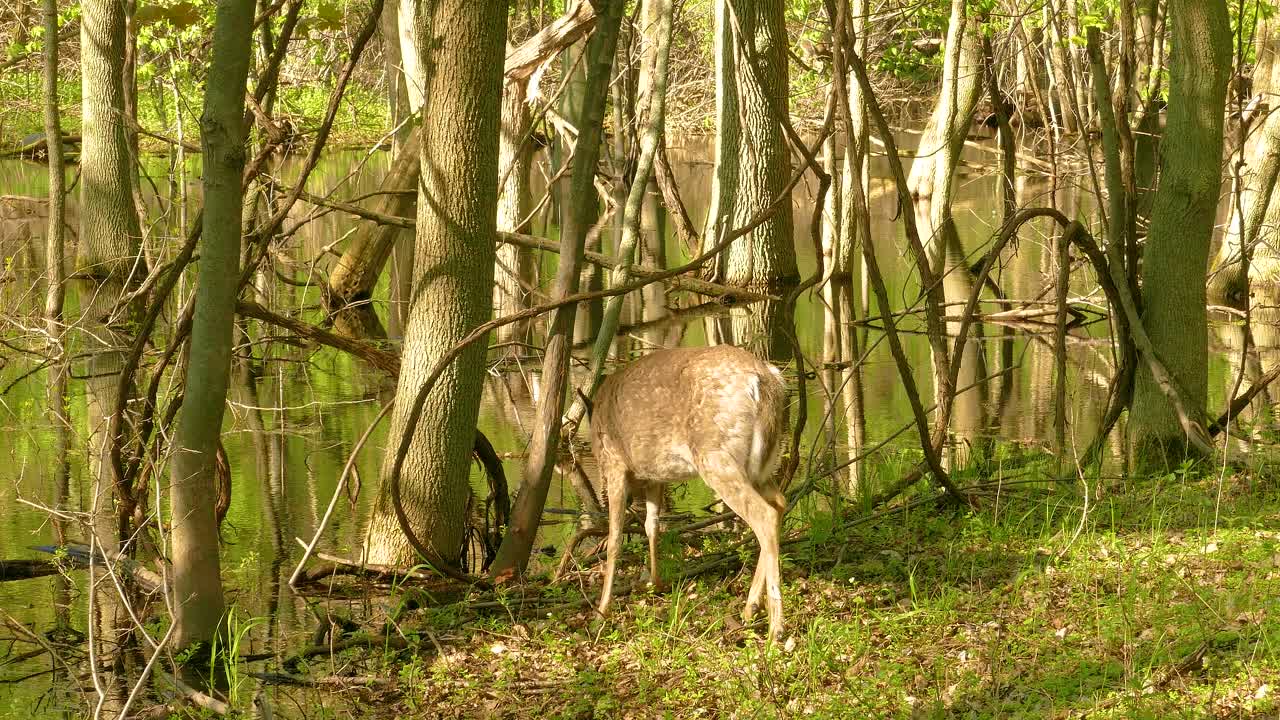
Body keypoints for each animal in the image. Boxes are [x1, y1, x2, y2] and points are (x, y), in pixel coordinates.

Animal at [587, 344, 789, 639]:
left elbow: (614, 539)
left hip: (715, 456)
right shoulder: (654, 477)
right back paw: (751, 608)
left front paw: (602, 611)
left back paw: (775, 627)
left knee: (764, 515)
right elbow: (652, 525)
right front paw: (655, 582)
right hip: (761, 465)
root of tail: (764, 379)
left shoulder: (615, 463)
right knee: (780, 503)